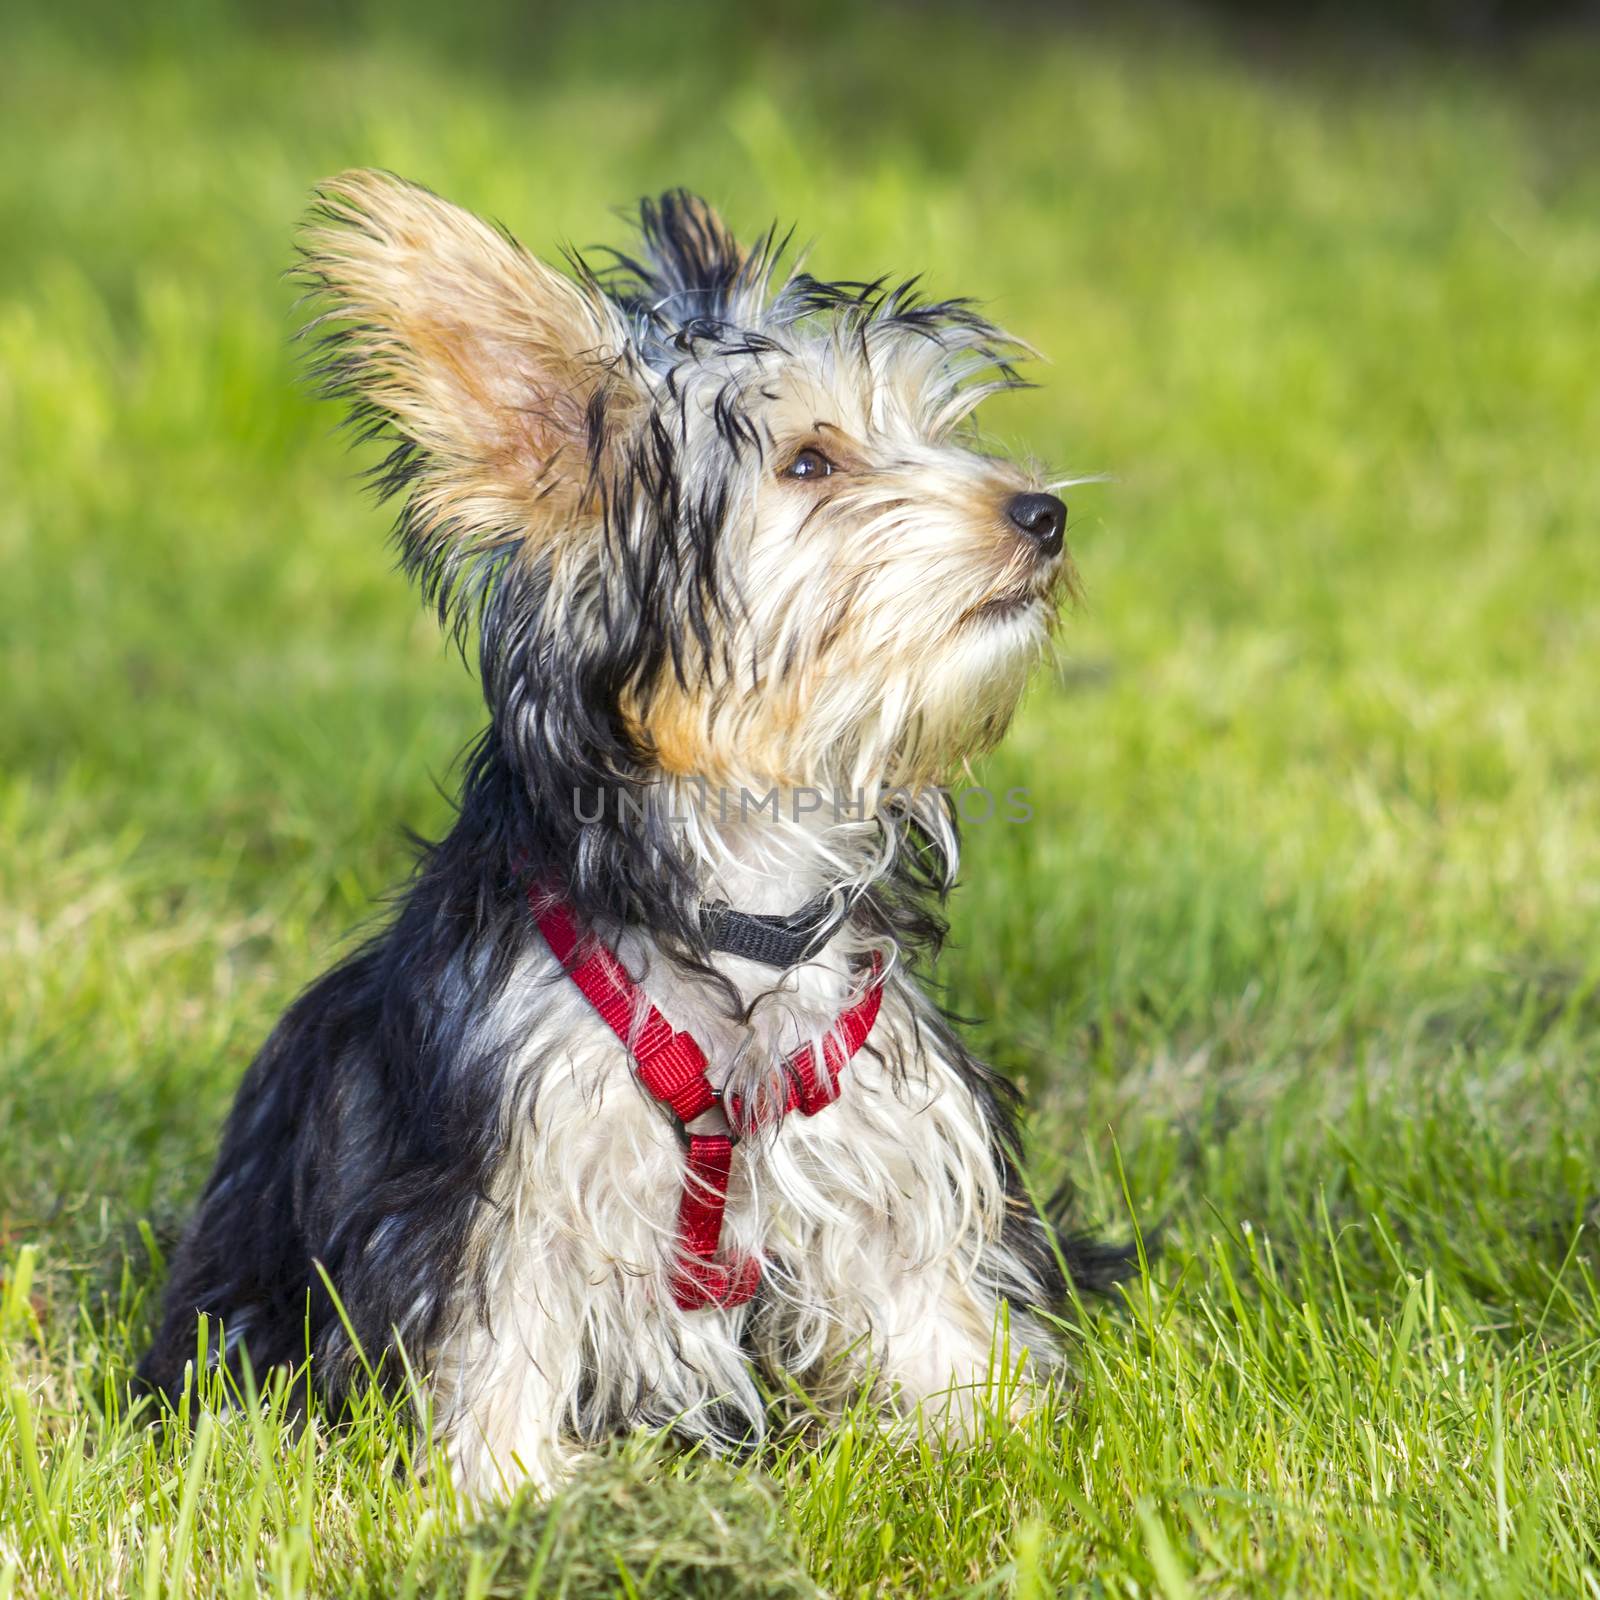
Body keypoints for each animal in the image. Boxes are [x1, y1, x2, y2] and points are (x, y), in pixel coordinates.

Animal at [140, 175, 1126, 1497]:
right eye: (810, 461)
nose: (1042, 512)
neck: (743, 901)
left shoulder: (881, 1132)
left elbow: (928, 1298)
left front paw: (999, 1437)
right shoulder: (502, 1174)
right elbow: (498, 1325)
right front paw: (504, 1490)